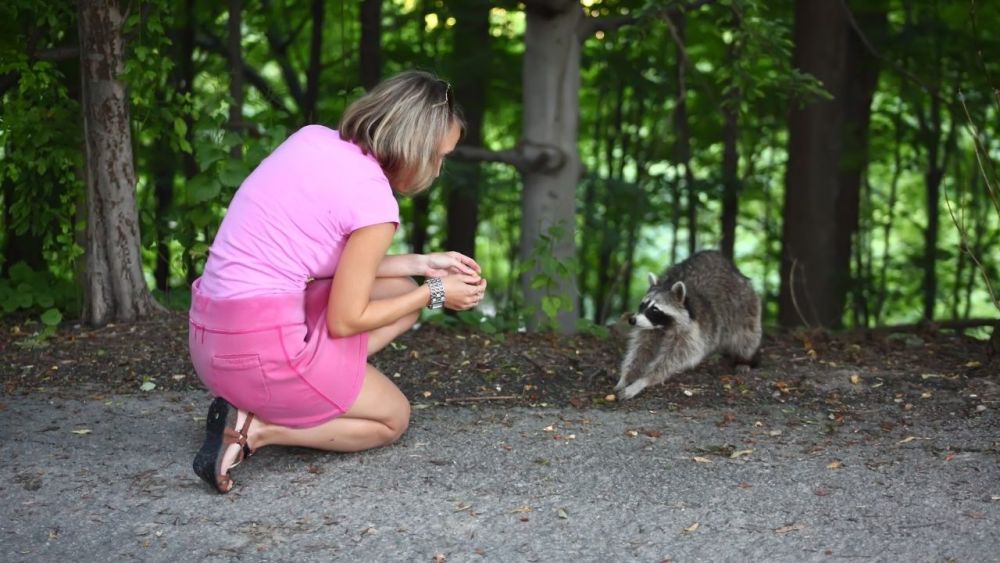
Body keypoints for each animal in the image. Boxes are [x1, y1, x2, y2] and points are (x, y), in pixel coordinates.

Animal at [612, 250, 760, 400]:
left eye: (655, 309)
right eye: (642, 305)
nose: (632, 320)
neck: (663, 326)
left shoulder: (692, 333)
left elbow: (672, 359)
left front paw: (644, 380)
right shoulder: (649, 328)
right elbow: (640, 350)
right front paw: (627, 376)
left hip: (744, 307)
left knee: (746, 336)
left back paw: (744, 359)